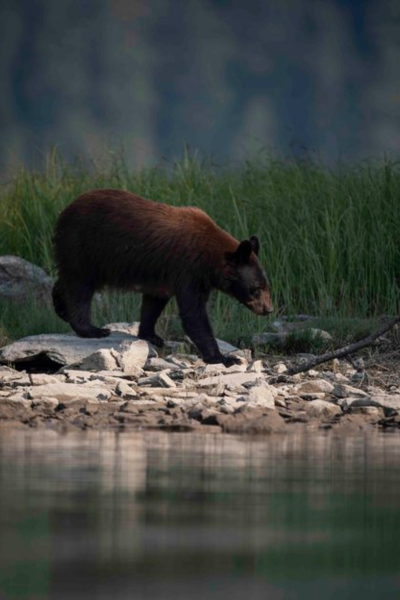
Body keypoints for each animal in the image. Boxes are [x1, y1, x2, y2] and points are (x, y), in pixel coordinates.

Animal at [51, 188, 274, 366]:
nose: (268, 309)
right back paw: (91, 329)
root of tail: (65, 210)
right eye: (255, 288)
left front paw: (151, 335)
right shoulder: (188, 269)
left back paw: (60, 306)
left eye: (266, 285)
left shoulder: (165, 275)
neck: (209, 258)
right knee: (79, 287)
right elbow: (194, 314)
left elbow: (154, 302)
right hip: (83, 246)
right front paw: (224, 357)